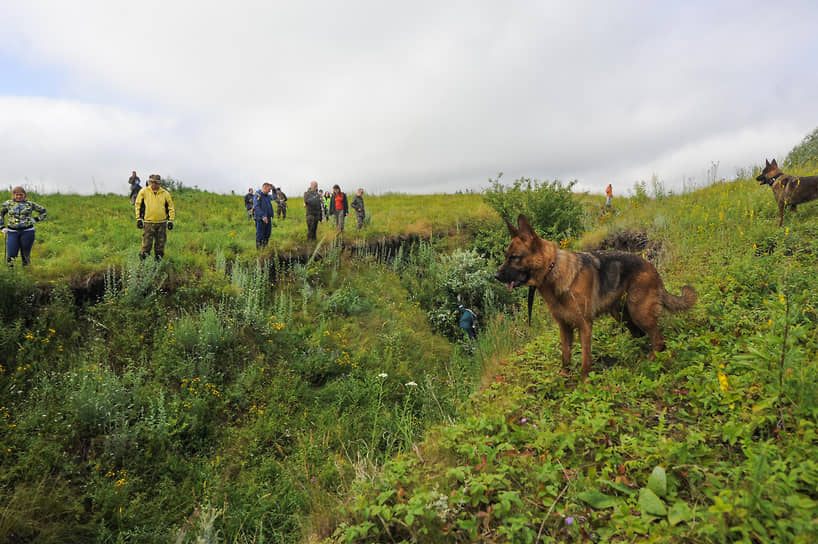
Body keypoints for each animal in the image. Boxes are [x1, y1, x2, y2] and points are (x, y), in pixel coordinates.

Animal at [490, 214, 696, 378]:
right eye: (506, 256)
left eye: (514, 257)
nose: (496, 276)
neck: (553, 269)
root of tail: (652, 267)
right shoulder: (564, 327)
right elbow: (565, 355)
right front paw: (563, 377)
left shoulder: (585, 326)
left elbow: (585, 360)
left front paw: (584, 383)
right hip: (621, 314)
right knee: (639, 335)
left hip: (639, 312)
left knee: (658, 340)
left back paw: (649, 361)